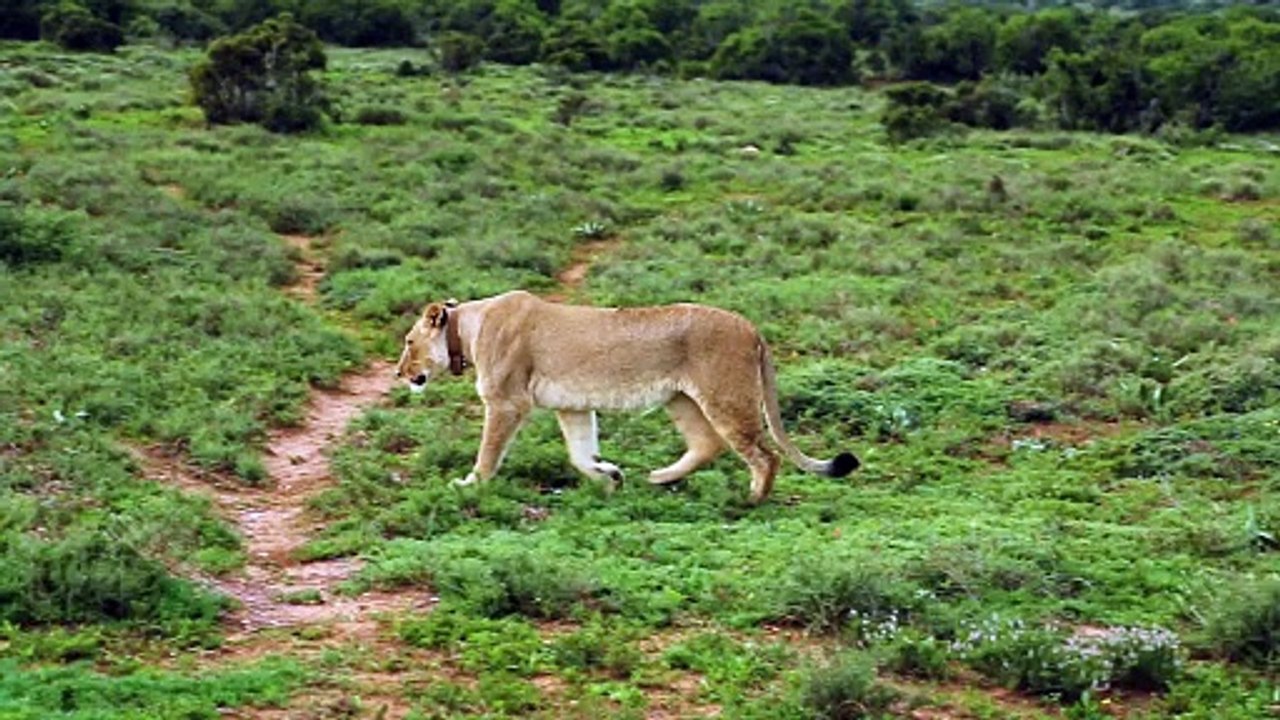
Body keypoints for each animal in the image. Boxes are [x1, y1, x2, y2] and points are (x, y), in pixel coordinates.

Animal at [395, 290, 859, 504]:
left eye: (408, 342)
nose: (400, 374)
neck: (467, 328)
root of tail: (752, 328)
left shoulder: (507, 402)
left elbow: (489, 452)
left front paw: (470, 485)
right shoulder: (572, 406)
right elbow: (579, 454)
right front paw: (610, 476)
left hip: (724, 396)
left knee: (765, 455)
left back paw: (751, 501)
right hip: (681, 399)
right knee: (707, 444)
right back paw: (659, 478)